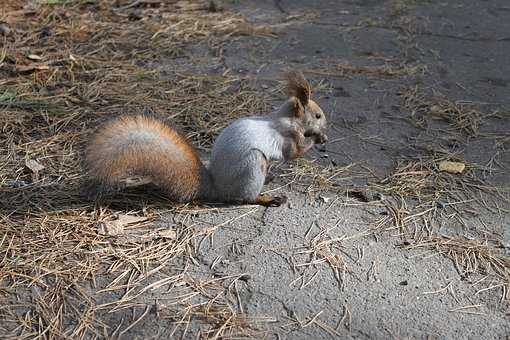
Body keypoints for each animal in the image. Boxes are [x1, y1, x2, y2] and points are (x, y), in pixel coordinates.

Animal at [85, 70, 328, 206]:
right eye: (317, 115)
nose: (325, 124)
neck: (282, 118)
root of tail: (216, 188)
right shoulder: (285, 135)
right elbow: (294, 152)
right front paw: (317, 138)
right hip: (253, 165)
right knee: (244, 198)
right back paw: (267, 198)